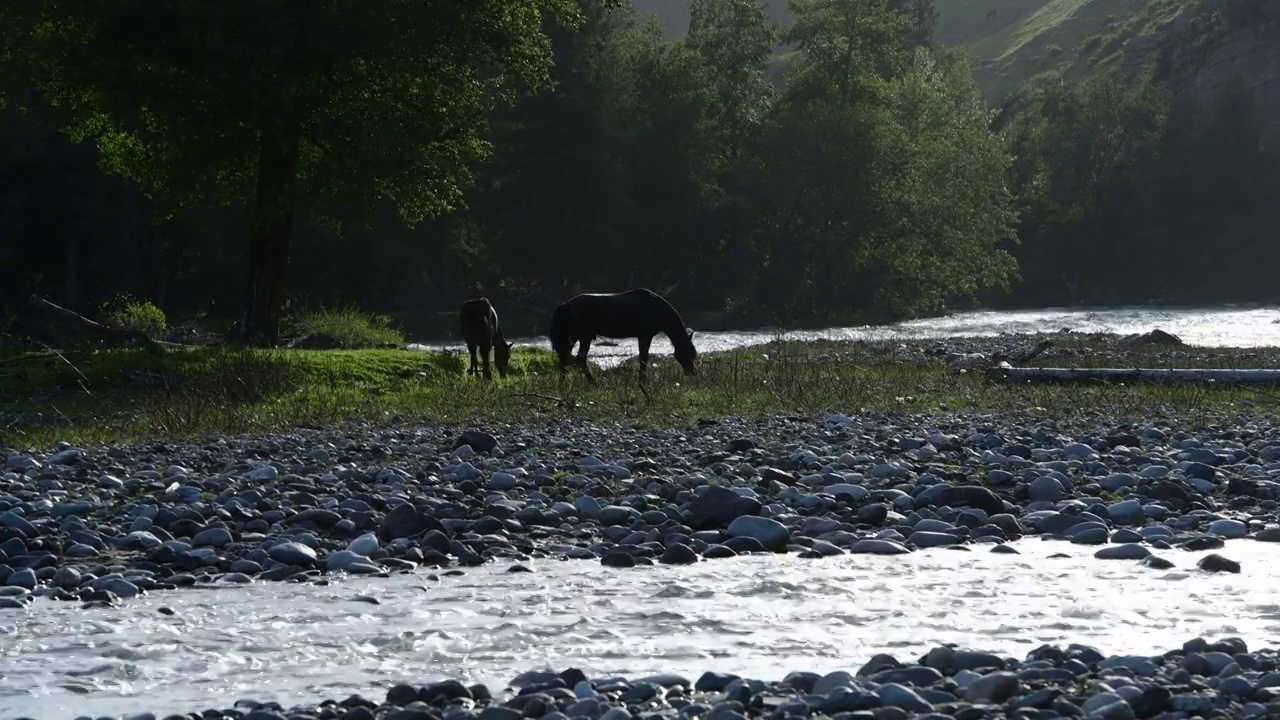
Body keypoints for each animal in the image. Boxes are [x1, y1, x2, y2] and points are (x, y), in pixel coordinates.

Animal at [545, 285, 696, 381]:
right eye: (688, 354)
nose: (691, 372)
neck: (655, 308)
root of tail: (565, 305)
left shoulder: (643, 337)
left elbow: (643, 358)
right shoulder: (645, 336)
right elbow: (644, 359)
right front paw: (643, 381)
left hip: (573, 337)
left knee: (564, 357)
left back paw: (563, 383)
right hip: (584, 336)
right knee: (580, 359)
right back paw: (594, 383)